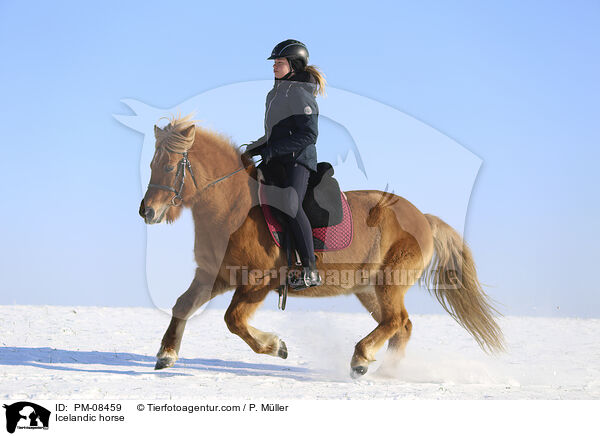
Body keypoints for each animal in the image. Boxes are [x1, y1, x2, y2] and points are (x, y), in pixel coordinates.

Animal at [138, 114, 504, 376]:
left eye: (169, 166)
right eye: (152, 165)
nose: (147, 212)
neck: (234, 208)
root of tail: (423, 218)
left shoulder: (256, 283)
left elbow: (233, 320)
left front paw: (277, 346)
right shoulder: (216, 275)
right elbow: (183, 305)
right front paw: (166, 354)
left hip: (390, 281)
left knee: (396, 320)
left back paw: (361, 359)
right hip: (367, 288)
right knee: (401, 325)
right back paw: (386, 370)